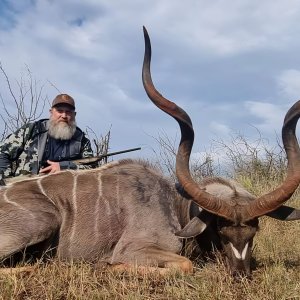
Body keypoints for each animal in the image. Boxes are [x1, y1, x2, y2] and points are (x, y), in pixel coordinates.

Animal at [0, 28, 298, 276]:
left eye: (254, 231)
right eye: (219, 229)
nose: (240, 273)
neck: (175, 205)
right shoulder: (136, 248)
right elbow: (185, 265)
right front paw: (109, 266)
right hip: (43, 221)